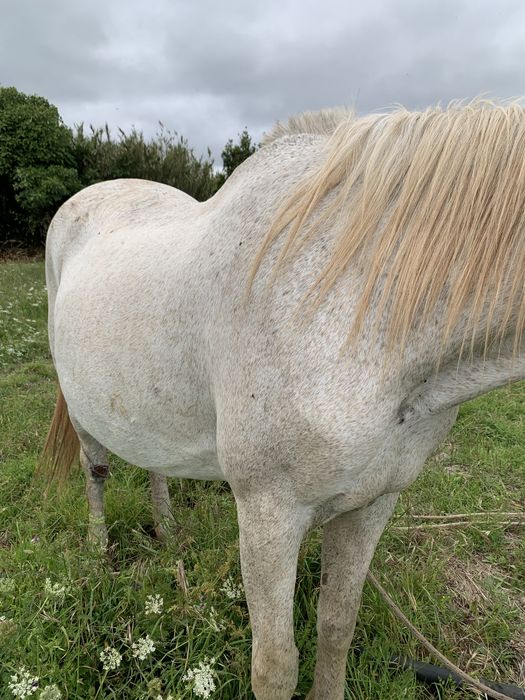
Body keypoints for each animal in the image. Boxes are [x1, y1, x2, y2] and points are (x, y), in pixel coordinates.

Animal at [40, 100, 525, 700]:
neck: (360, 301)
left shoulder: (373, 504)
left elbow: (337, 624)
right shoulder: (269, 513)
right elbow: (274, 667)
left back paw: (169, 533)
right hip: (81, 408)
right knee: (96, 471)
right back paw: (96, 552)